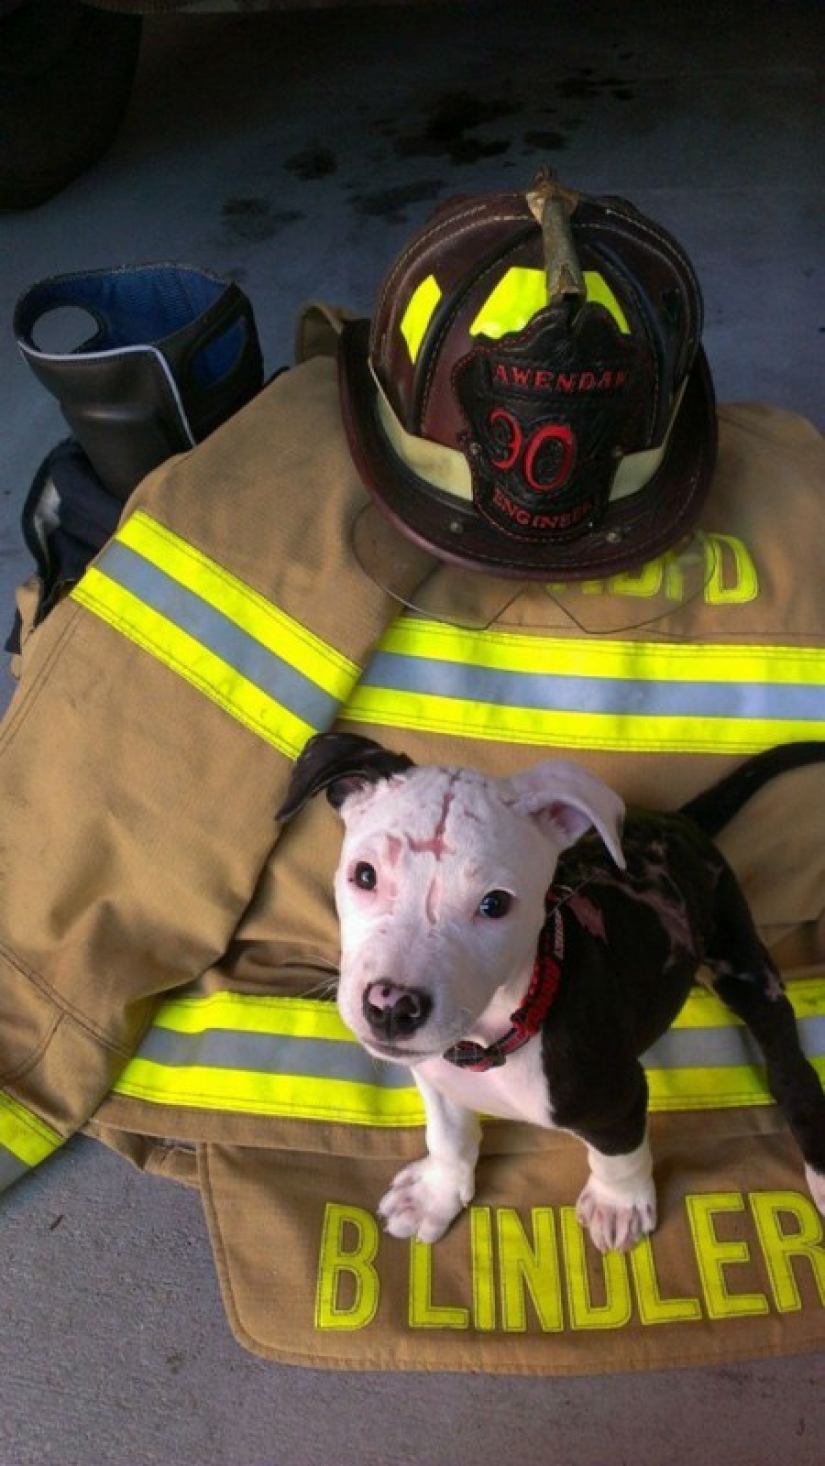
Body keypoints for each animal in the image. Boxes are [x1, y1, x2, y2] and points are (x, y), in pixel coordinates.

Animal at [276, 738, 825, 1254]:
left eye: (494, 905)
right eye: (364, 875)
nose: (392, 1006)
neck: (498, 1031)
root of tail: (680, 820)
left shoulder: (618, 1098)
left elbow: (618, 1156)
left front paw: (618, 1203)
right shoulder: (434, 1074)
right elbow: (449, 1135)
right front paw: (437, 1193)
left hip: (742, 959)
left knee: (789, 1067)